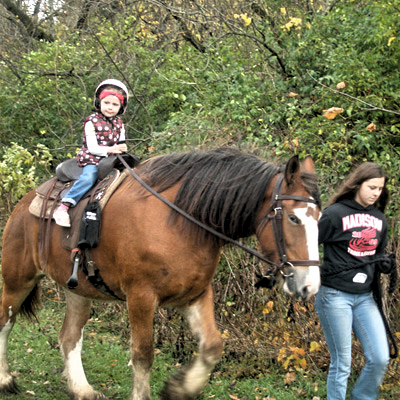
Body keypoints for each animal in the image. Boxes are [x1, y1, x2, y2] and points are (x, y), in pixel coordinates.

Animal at [0, 148, 320, 400]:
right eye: (293, 218)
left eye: (318, 216)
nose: (310, 286)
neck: (181, 222)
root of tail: (24, 203)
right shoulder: (140, 298)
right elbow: (143, 355)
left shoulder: (195, 295)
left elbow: (212, 346)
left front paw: (180, 388)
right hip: (18, 280)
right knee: (5, 322)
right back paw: (5, 379)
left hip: (76, 290)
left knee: (68, 337)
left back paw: (82, 390)